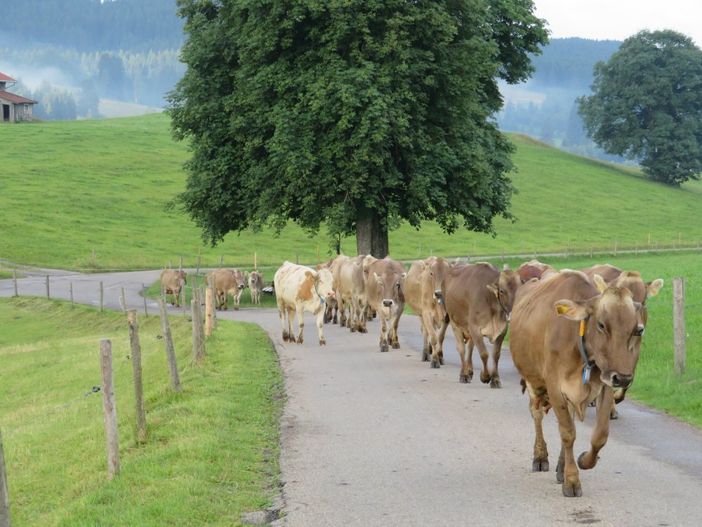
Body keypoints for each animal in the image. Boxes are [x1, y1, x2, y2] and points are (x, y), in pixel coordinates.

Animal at [512, 272, 656, 500]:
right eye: (602, 325)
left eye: (637, 330)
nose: (624, 378)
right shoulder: (555, 388)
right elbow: (568, 434)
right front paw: (572, 480)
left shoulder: (605, 385)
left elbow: (600, 436)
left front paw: (582, 462)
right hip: (533, 381)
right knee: (537, 414)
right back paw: (540, 457)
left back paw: (561, 467)